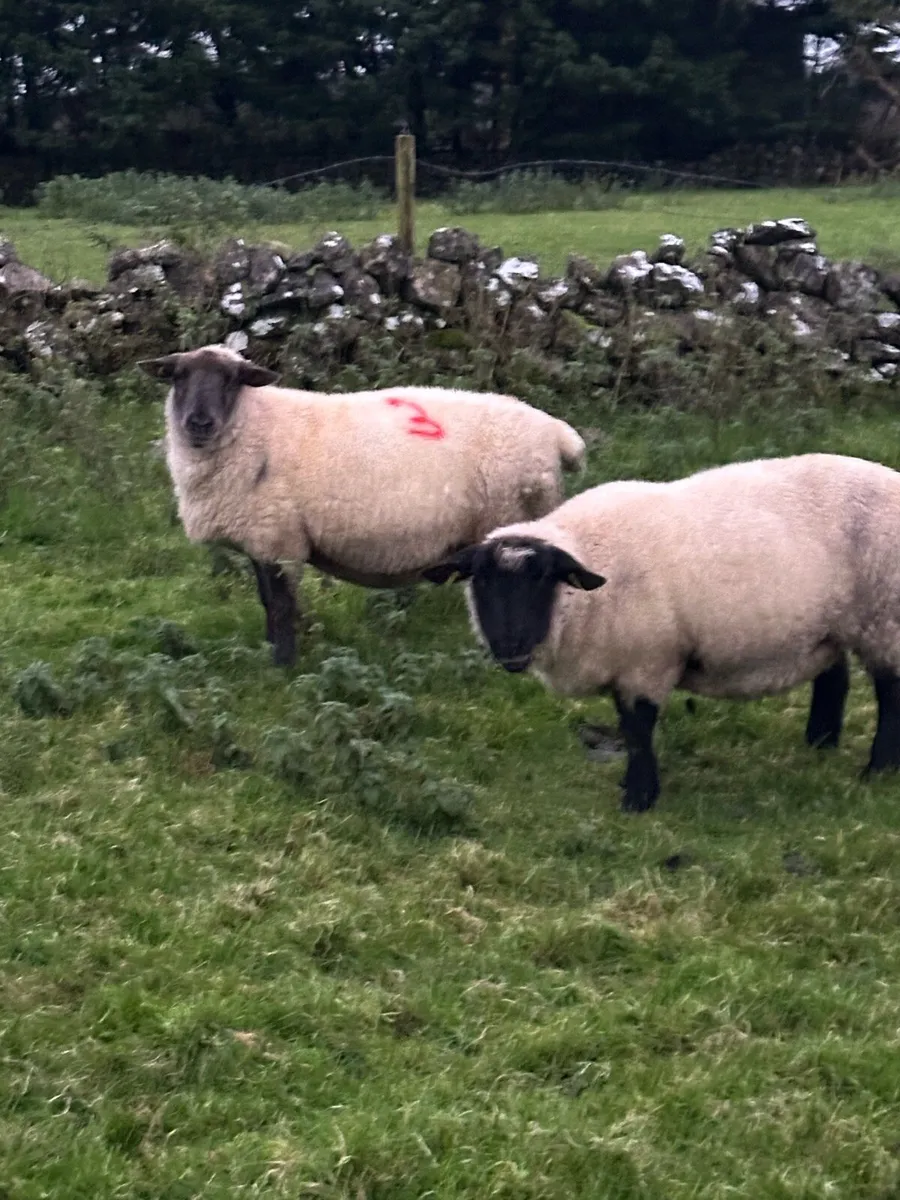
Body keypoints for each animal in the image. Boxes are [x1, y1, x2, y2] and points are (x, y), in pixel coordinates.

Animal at [138, 343, 586, 667]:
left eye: (232, 380)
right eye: (178, 376)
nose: (199, 423)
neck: (252, 426)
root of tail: (557, 434)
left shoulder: (278, 538)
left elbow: (280, 607)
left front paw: (282, 665)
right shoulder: (264, 540)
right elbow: (271, 601)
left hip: (511, 518)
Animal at [421, 452, 900, 812]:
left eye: (542, 579)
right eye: (481, 581)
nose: (510, 647)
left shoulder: (646, 661)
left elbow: (637, 730)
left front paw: (638, 798)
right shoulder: (625, 663)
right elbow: (627, 726)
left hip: (884, 618)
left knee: (889, 694)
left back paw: (877, 770)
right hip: (827, 623)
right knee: (834, 677)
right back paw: (820, 742)